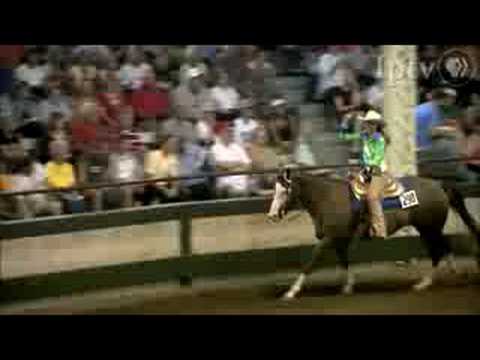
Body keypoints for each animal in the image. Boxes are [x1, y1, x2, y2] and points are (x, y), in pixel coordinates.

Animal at [266, 167, 480, 300]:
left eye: (284, 192)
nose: (272, 215)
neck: (326, 198)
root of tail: (438, 184)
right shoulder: (339, 241)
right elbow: (344, 262)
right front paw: (348, 286)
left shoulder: (329, 239)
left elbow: (311, 262)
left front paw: (291, 292)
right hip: (427, 229)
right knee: (442, 247)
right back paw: (445, 273)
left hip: (429, 228)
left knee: (438, 251)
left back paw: (426, 282)